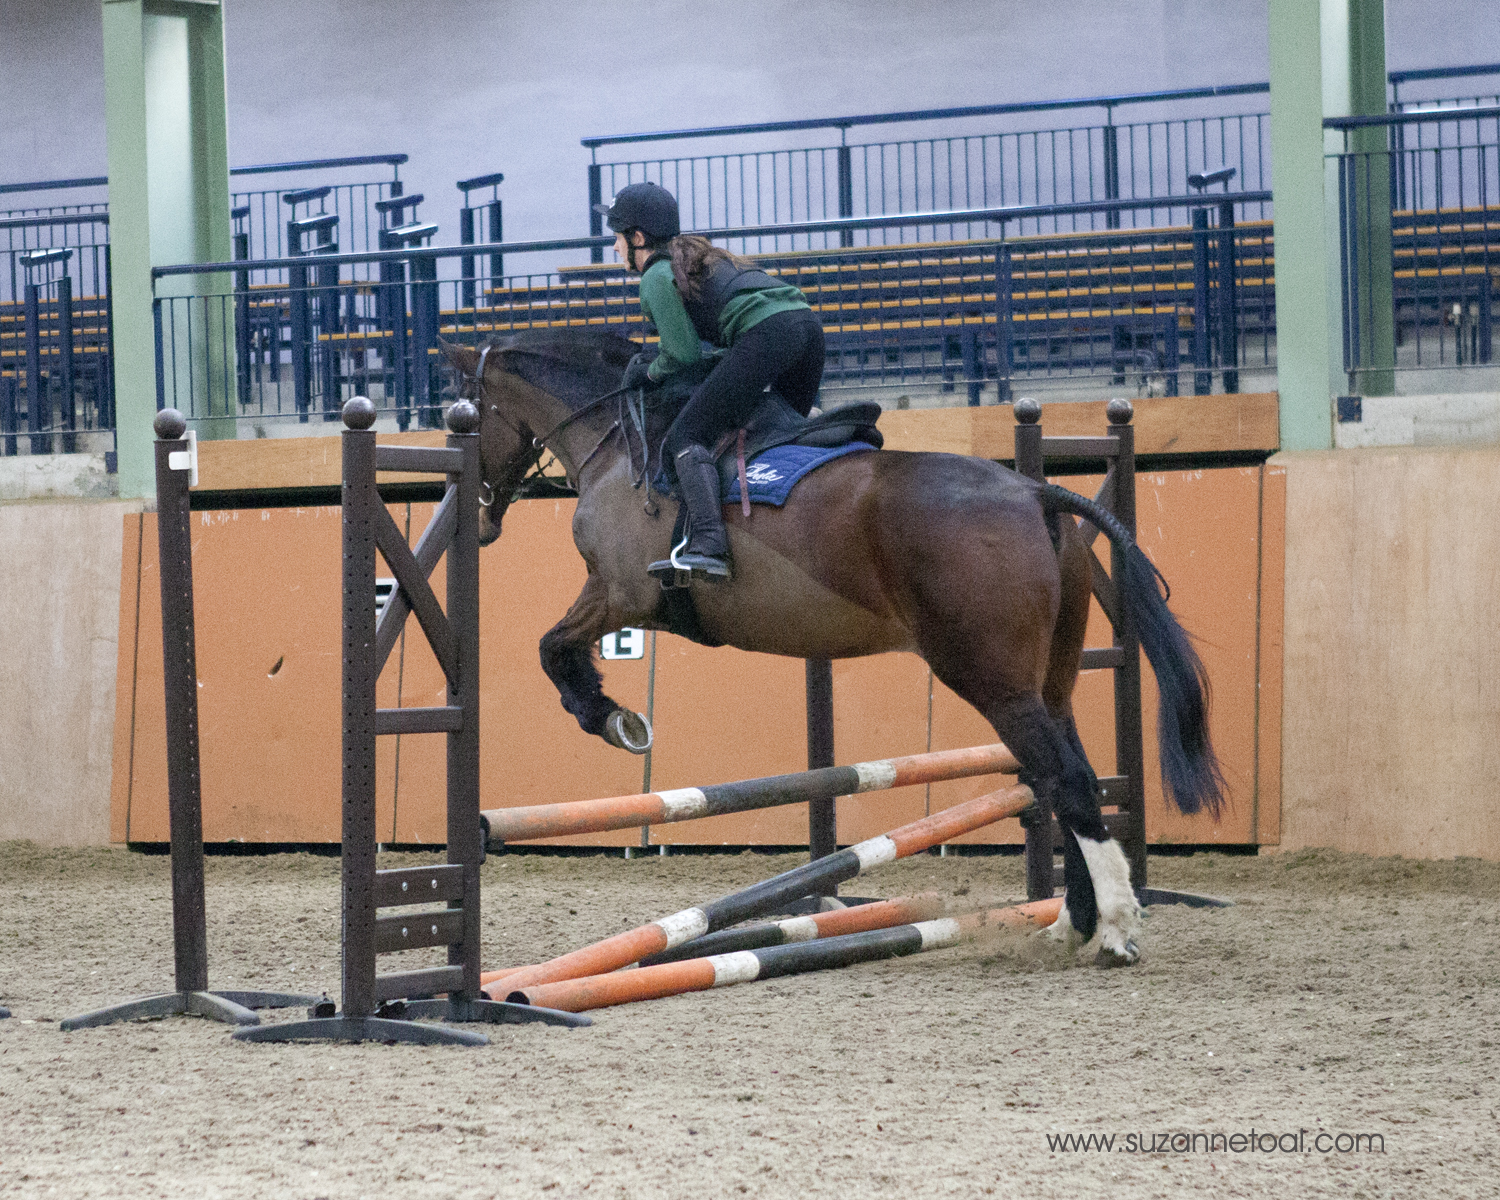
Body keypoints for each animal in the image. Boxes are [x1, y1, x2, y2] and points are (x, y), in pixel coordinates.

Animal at [441, 328, 1218, 966]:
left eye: (466, 411)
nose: (476, 521)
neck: (620, 436)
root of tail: (1037, 495)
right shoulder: (615, 595)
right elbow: (557, 645)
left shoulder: (621, 593)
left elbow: (552, 648)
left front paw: (610, 717)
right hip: (1046, 685)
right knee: (1062, 778)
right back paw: (1070, 923)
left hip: (993, 682)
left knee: (1070, 783)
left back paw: (1114, 930)